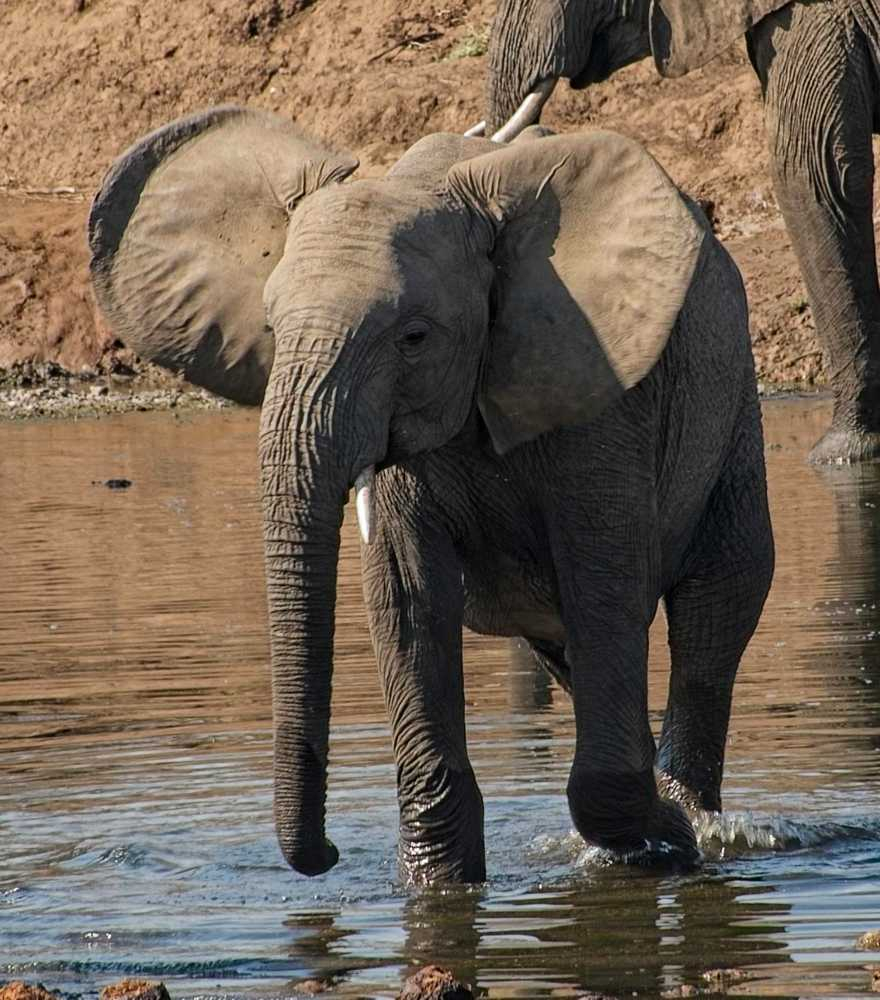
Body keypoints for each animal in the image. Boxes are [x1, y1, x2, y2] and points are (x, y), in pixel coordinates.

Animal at [88, 105, 774, 884]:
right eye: (269, 327)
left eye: (414, 338)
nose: (327, 854)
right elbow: (408, 599)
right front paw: (440, 881)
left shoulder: (602, 394)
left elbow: (605, 584)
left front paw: (668, 837)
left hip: (729, 405)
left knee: (715, 610)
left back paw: (695, 821)